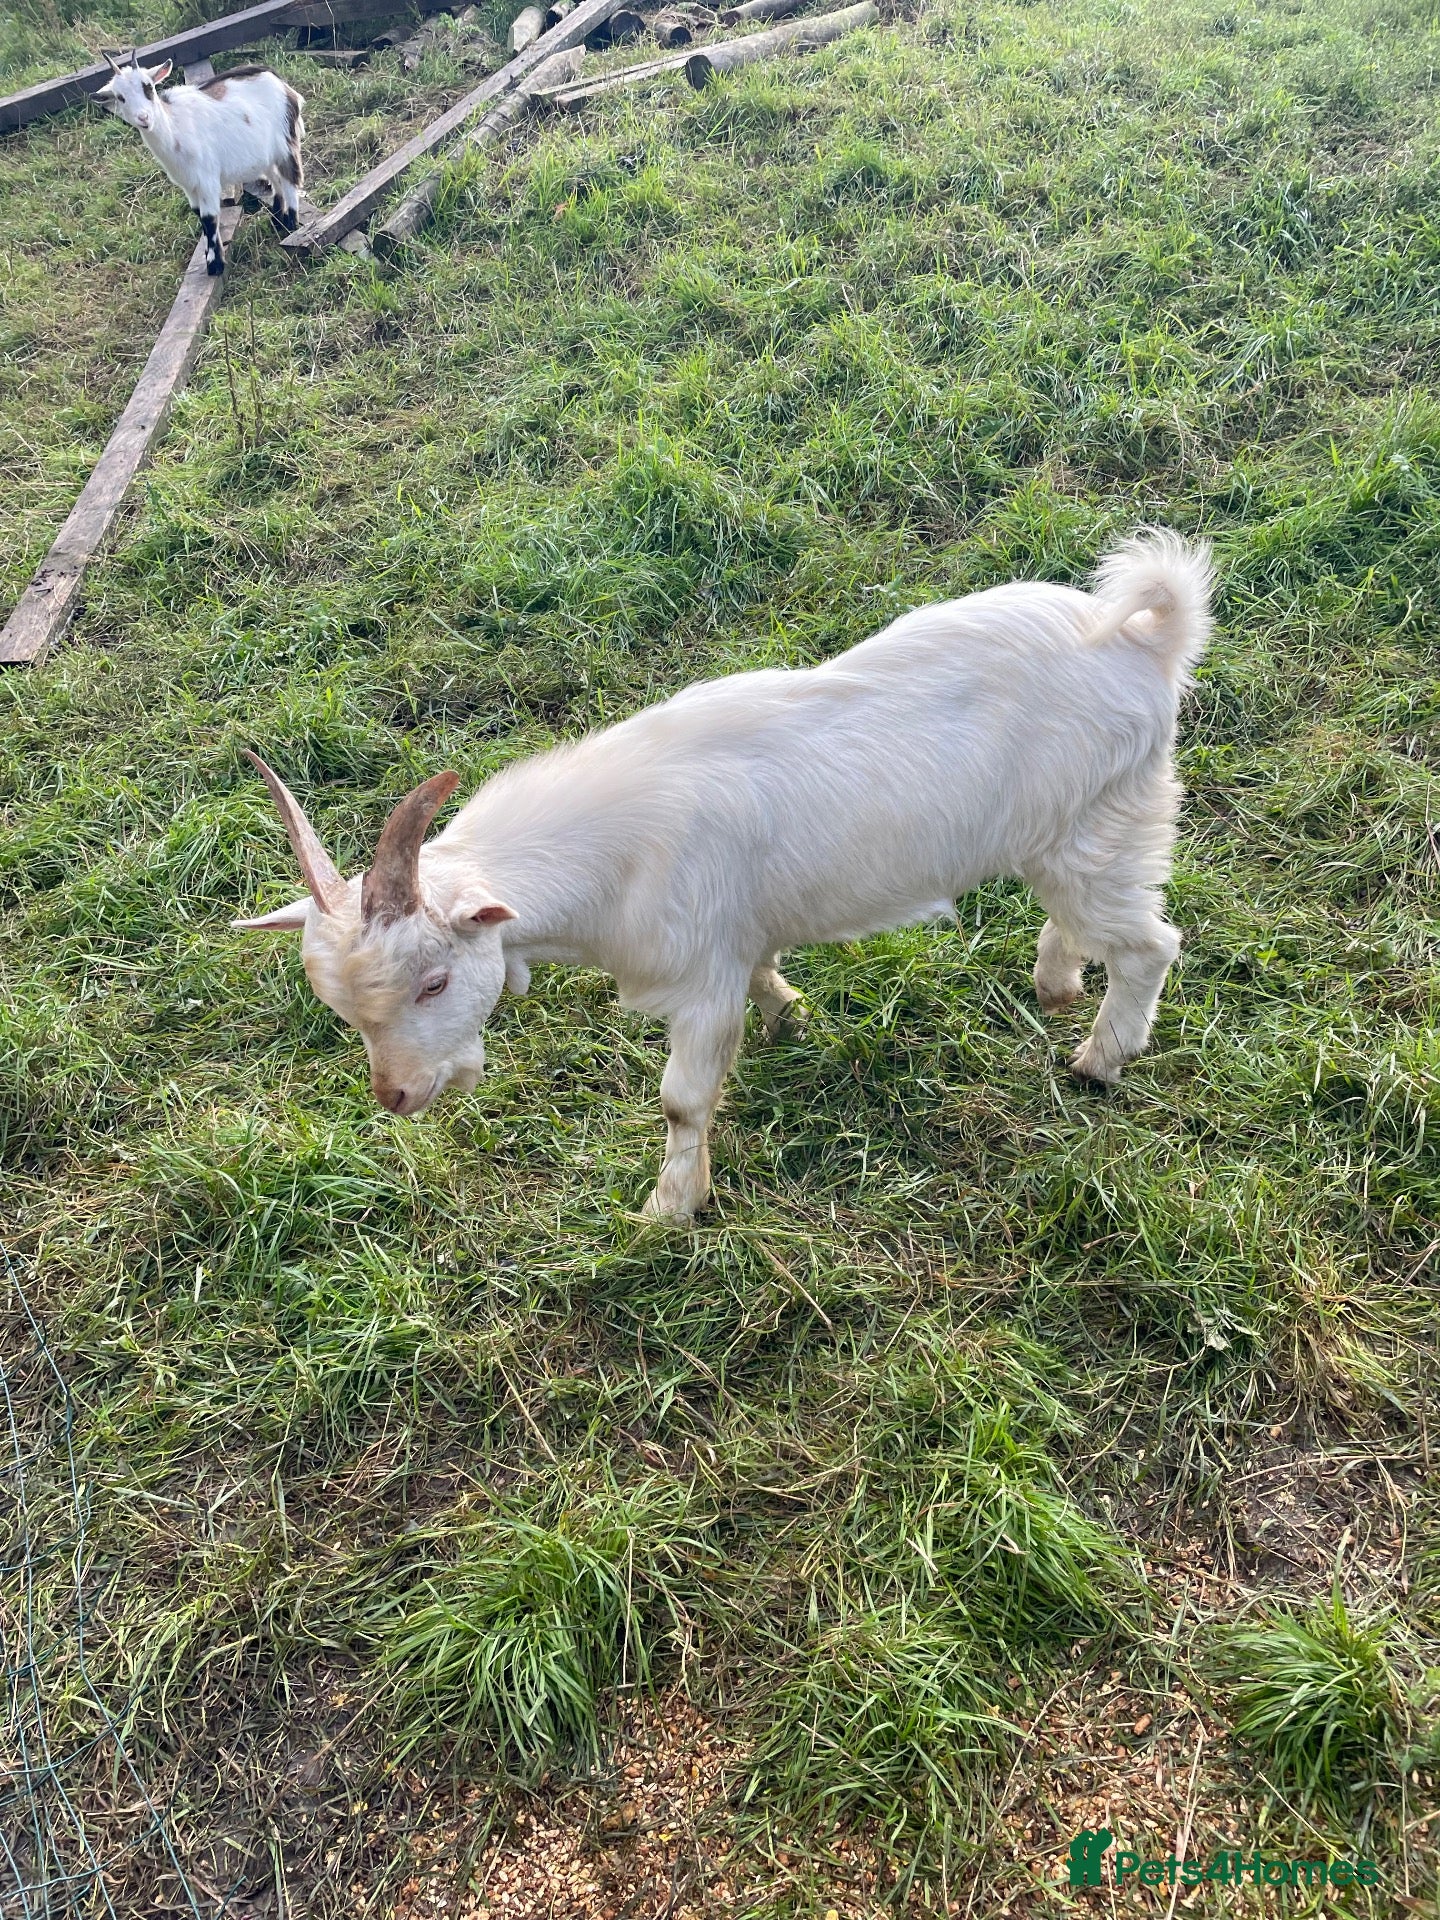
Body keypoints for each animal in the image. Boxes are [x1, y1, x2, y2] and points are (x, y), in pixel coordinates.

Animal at [95, 51, 304, 275]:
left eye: (148, 86)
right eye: (120, 97)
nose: (144, 118)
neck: (174, 130)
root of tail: (279, 82)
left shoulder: (207, 180)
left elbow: (209, 218)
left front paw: (214, 264)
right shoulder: (188, 184)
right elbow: (198, 214)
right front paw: (210, 255)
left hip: (285, 143)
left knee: (290, 179)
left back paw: (290, 224)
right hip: (265, 154)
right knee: (276, 179)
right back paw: (277, 221)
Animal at [235, 530, 1214, 1222]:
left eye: (435, 981)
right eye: (337, 1005)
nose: (396, 1096)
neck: (610, 857)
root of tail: (1148, 638)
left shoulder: (697, 977)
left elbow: (681, 1101)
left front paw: (670, 1207)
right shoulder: (735, 938)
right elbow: (765, 975)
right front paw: (789, 1014)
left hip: (1099, 824)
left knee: (1150, 943)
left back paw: (1100, 1058)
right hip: (1075, 834)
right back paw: (1057, 982)